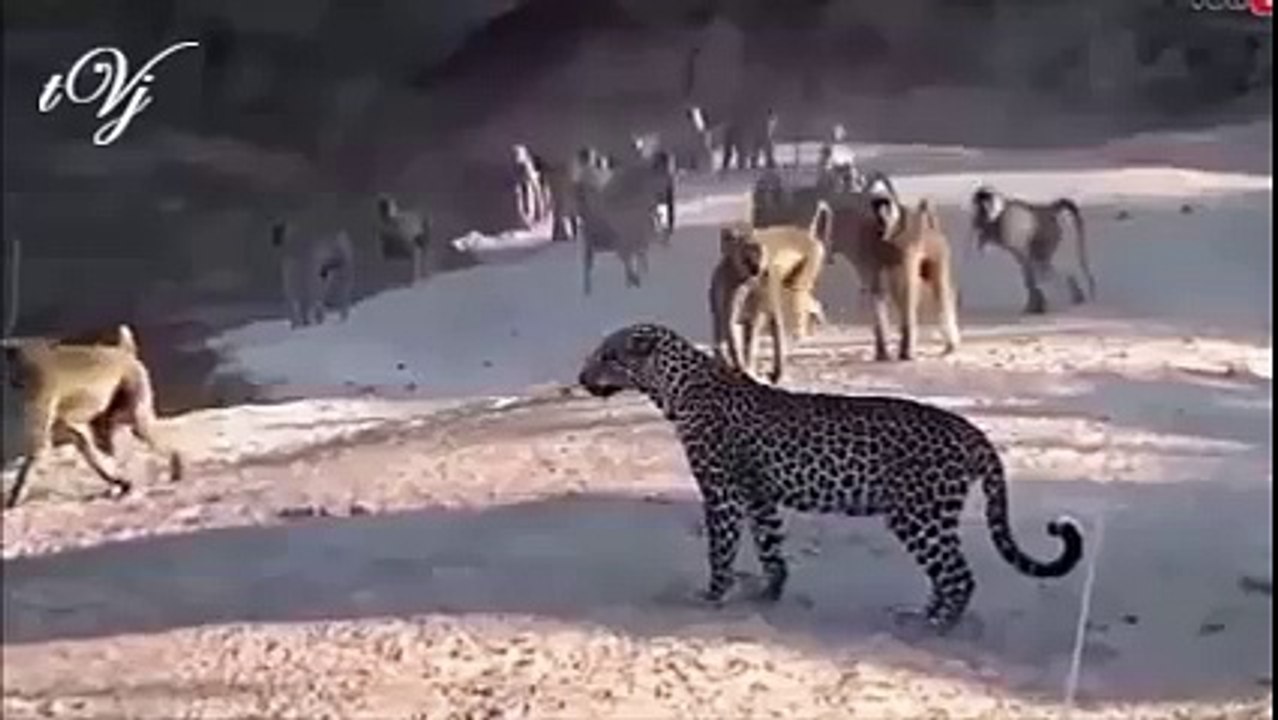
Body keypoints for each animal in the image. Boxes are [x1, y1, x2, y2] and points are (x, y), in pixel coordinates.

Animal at [3, 324, 184, 509]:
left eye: (17, 365)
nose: (13, 381)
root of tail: (124, 353)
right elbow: (79, 440)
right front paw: (117, 480)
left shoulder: (42, 389)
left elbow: (39, 446)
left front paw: (14, 498)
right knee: (104, 435)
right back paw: (120, 484)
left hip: (132, 386)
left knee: (141, 427)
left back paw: (174, 464)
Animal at [577, 323, 1084, 632]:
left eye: (607, 356)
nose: (582, 378)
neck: (673, 388)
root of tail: (969, 428)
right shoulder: (760, 494)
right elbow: (770, 547)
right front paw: (770, 593)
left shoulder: (721, 492)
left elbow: (721, 549)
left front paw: (712, 596)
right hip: (928, 518)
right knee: (947, 577)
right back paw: (921, 614)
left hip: (918, 515)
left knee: (959, 576)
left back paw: (935, 625)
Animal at [708, 203, 832, 384]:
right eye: (746, 254)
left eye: (758, 253)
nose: (757, 269)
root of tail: (809, 237)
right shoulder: (727, 290)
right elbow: (727, 324)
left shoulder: (759, 289)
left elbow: (754, 326)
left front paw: (749, 369)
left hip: (807, 267)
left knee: (793, 298)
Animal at [969, 185, 1096, 315]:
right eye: (980, 204)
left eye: (985, 203)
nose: (983, 211)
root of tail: (1047, 210)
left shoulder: (1008, 224)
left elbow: (1024, 260)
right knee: (1039, 265)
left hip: (1048, 234)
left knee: (1039, 264)